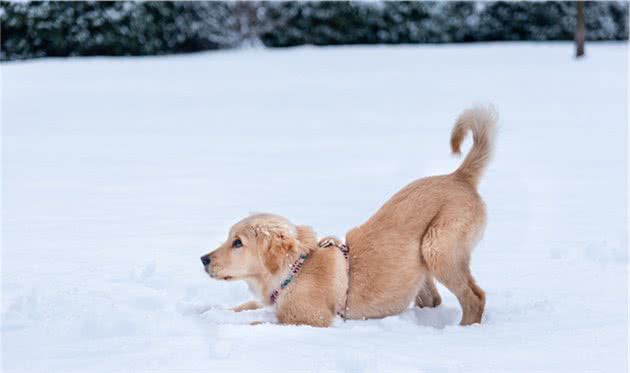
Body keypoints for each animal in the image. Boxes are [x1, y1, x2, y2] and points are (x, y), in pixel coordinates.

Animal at [202, 105, 498, 326]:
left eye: (238, 243)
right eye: (228, 238)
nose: (203, 259)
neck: (294, 269)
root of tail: (458, 177)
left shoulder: (311, 318)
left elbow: (260, 321)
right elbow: (245, 305)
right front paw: (210, 312)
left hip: (436, 247)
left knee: (475, 297)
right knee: (433, 300)